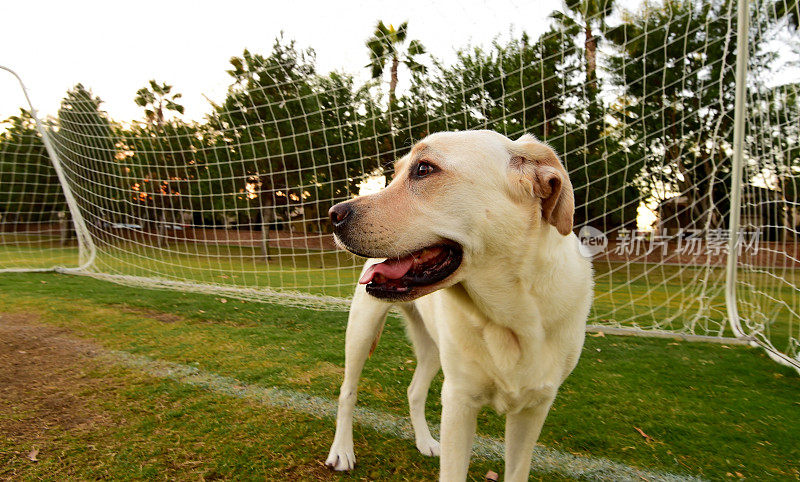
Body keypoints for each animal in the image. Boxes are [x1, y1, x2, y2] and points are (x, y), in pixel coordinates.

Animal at [324, 130, 592, 480]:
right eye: (395, 173)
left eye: (423, 169)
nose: (333, 215)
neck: (510, 316)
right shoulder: (459, 401)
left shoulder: (534, 409)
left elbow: (517, 470)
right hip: (362, 329)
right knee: (347, 392)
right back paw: (342, 450)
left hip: (433, 348)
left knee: (414, 391)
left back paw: (424, 441)